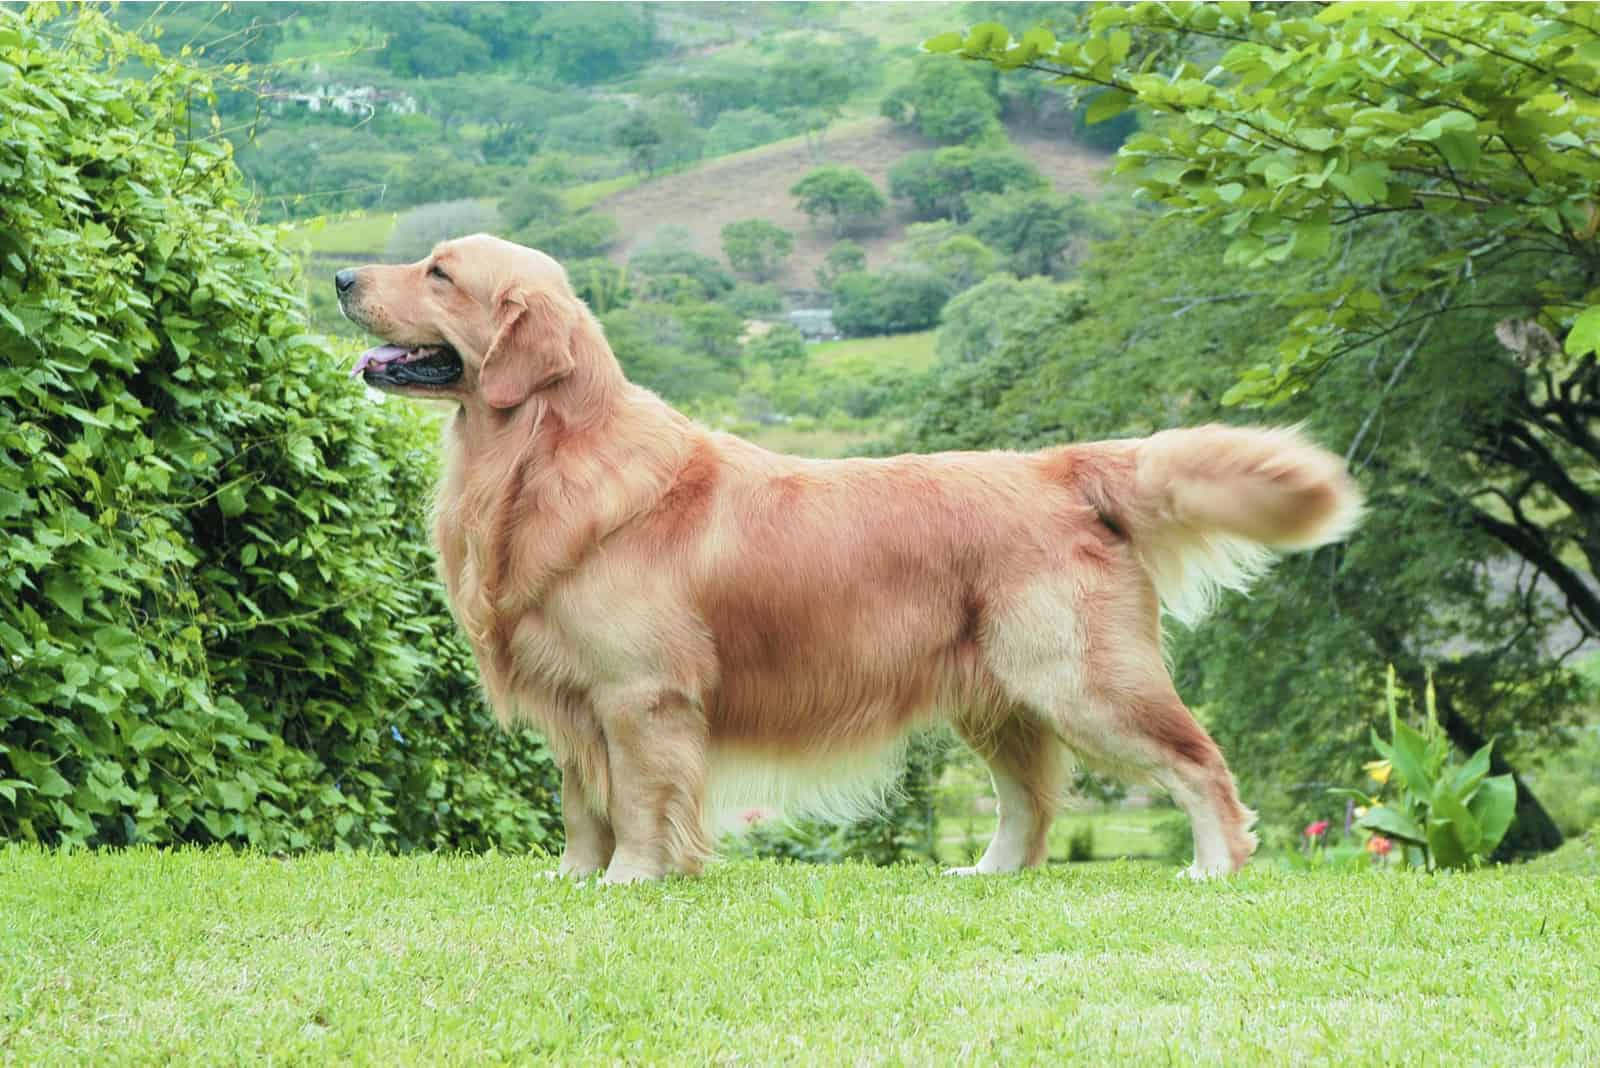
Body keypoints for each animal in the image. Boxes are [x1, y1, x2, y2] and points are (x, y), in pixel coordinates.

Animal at [340, 235, 1363, 882]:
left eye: (439, 272)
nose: (344, 274)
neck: (544, 455)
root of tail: (1059, 465)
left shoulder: (639, 696)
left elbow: (636, 801)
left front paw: (631, 879)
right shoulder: (572, 700)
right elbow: (582, 805)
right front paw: (572, 877)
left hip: (1079, 678)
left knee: (1199, 765)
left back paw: (1215, 865)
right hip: (1001, 695)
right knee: (1027, 804)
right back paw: (987, 873)